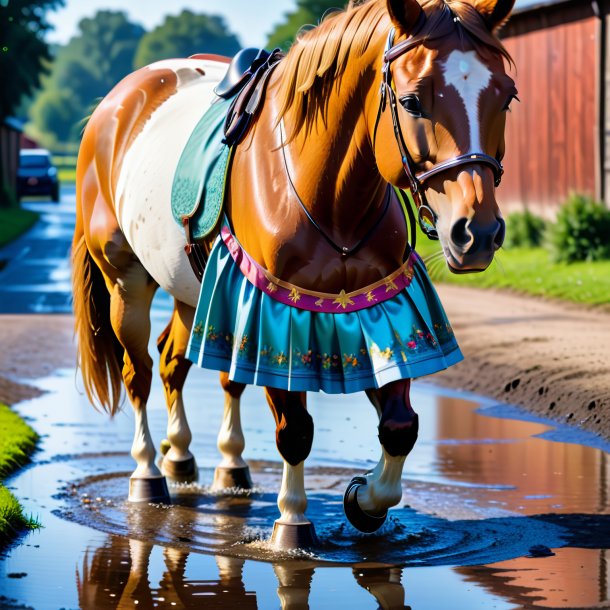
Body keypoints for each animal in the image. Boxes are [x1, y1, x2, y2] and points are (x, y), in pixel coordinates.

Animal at [73, 0, 516, 544]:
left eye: (507, 97)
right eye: (412, 101)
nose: (477, 232)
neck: (329, 198)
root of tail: (115, 105)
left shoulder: (380, 312)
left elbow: (399, 426)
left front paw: (364, 500)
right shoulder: (274, 312)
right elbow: (296, 430)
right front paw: (293, 523)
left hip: (195, 291)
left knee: (178, 362)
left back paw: (204, 462)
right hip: (127, 281)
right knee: (138, 373)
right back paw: (149, 473)